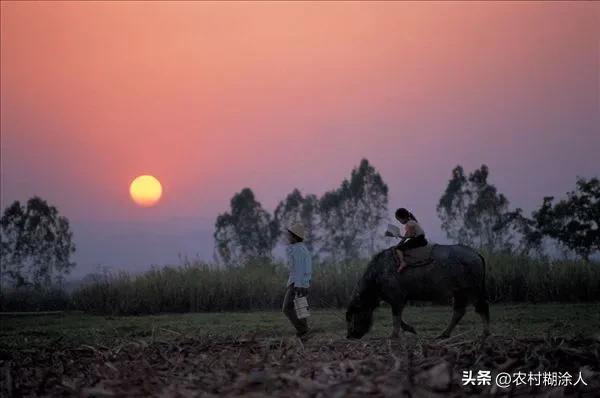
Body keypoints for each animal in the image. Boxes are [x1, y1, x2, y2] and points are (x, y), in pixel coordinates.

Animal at [346, 246, 488, 338]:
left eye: (354, 314)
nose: (349, 335)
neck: (377, 275)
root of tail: (477, 254)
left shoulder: (397, 298)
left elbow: (396, 317)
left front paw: (393, 335)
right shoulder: (398, 299)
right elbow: (399, 318)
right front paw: (411, 330)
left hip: (472, 290)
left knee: (481, 307)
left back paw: (484, 333)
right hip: (459, 293)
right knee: (459, 311)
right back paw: (443, 335)